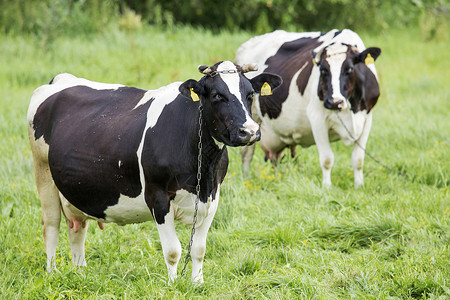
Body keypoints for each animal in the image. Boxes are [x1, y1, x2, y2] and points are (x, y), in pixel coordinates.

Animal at [27, 61, 282, 284]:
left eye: (249, 94)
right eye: (217, 95)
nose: (249, 131)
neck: (202, 170)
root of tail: (61, 79)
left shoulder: (212, 197)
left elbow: (199, 249)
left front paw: (198, 283)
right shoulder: (158, 198)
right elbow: (173, 250)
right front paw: (173, 284)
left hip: (76, 190)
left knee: (77, 229)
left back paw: (80, 273)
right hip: (43, 173)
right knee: (51, 226)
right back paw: (52, 273)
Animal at [237, 28, 382, 188]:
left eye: (349, 69)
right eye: (323, 70)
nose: (334, 102)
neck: (351, 108)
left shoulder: (367, 118)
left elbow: (358, 159)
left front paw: (359, 186)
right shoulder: (317, 118)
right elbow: (327, 159)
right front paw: (327, 188)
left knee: (275, 159)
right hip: (252, 118)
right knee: (247, 153)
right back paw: (246, 180)